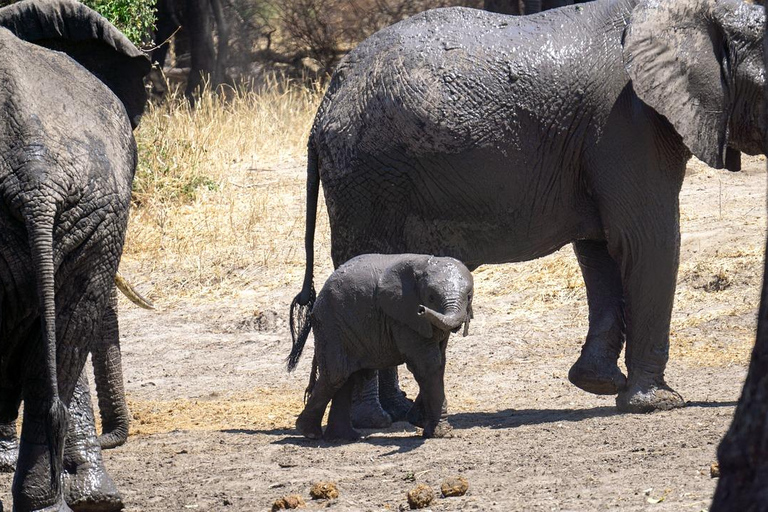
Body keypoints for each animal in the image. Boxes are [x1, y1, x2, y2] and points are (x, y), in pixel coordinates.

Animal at [290, 255, 474, 440]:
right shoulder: (403, 317)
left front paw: (420, 421)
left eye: (469, 296)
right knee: (336, 376)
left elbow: (439, 362)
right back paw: (309, 432)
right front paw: (441, 433)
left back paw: (345, 436)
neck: (425, 263)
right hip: (331, 324)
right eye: (430, 298)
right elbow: (427, 365)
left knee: (346, 377)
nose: (422, 310)